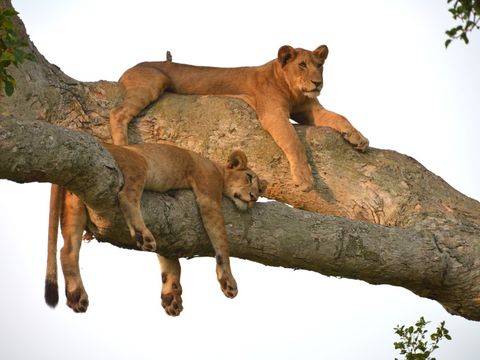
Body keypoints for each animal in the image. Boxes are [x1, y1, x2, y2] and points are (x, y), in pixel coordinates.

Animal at [46, 143, 264, 316]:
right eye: (248, 177)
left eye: (261, 189)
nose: (254, 197)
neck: (218, 169)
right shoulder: (208, 196)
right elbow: (222, 242)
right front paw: (228, 280)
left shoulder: (170, 229)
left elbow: (171, 261)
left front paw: (171, 296)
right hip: (138, 163)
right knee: (126, 196)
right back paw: (143, 235)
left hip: (74, 204)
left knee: (67, 251)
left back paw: (76, 296)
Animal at [110, 45, 370, 191]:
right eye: (302, 65)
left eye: (319, 66)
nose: (318, 83)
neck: (294, 91)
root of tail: (127, 70)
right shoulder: (272, 114)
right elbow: (294, 143)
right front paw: (305, 179)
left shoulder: (310, 108)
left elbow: (339, 117)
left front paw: (359, 138)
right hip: (154, 80)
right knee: (117, 112)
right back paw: (122, 144)